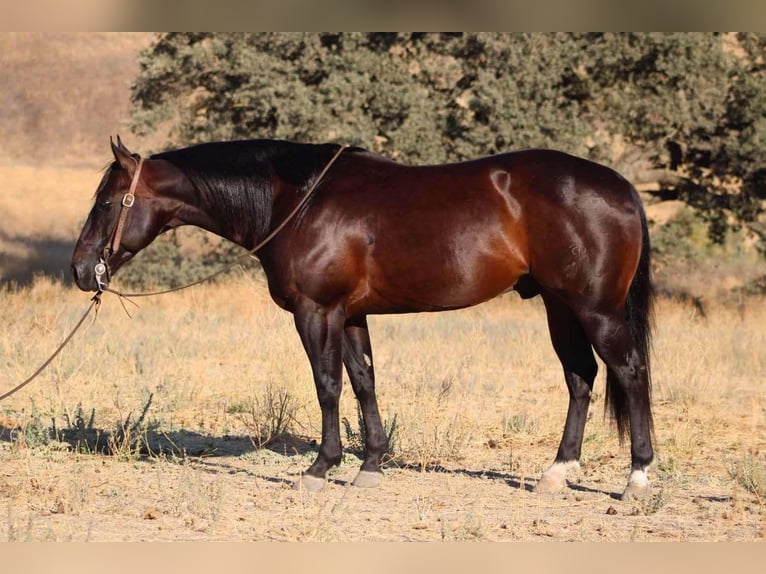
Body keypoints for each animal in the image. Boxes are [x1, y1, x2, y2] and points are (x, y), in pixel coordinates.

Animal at [72, 137, 656, 502]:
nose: (80, 269)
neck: (298, 200)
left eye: (107, 202)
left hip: (595, 310)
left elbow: (328, 386)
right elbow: (364, 383)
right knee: (581, 378)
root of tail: (622, 188)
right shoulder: (352, 316)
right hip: (560, 307)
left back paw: (638, 477)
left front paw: (320, 468)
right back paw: (557, 473)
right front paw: (370, 467)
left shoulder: (317, 312)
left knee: (630, 373)